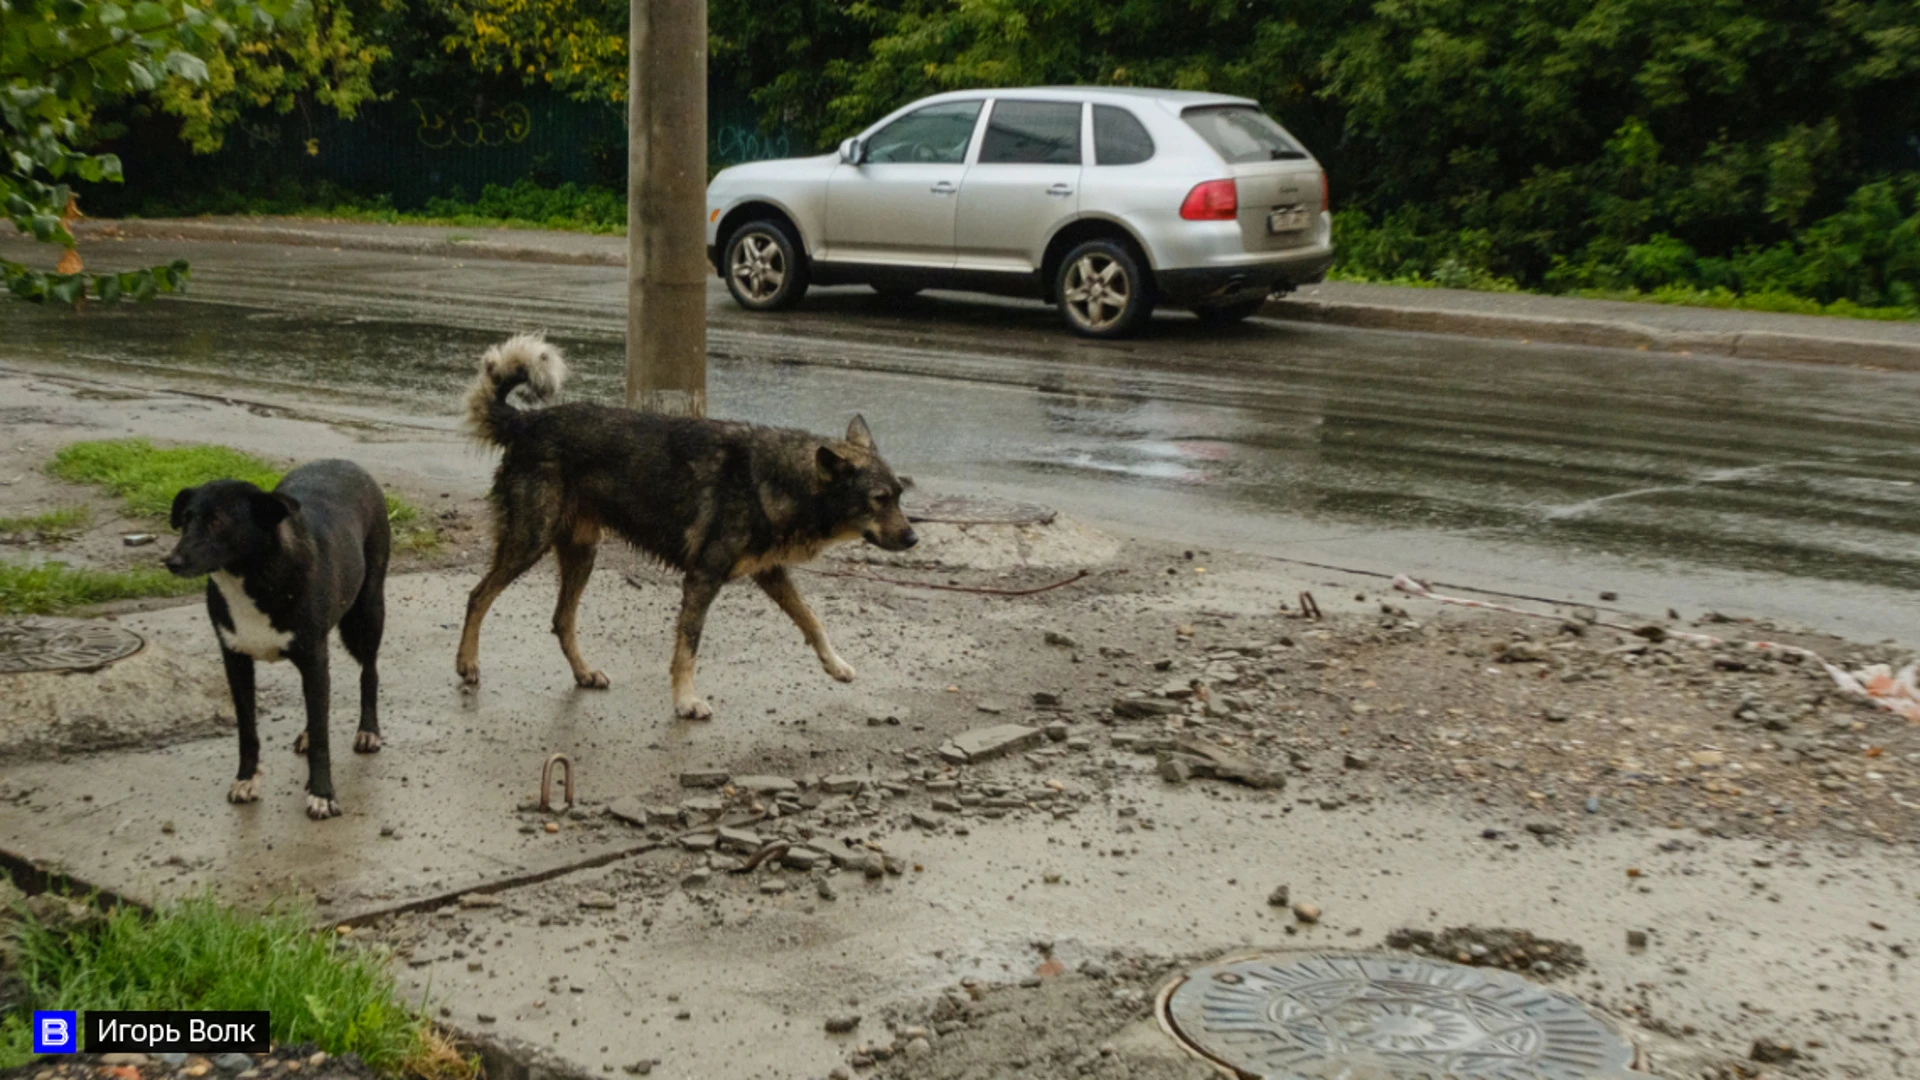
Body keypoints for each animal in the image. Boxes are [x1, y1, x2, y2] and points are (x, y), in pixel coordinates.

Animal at [170, 457, 395, 818]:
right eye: (186, 520)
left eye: (217, 521)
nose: (171, 561)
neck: (253, 575)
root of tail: (344, 461)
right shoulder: (236, 661)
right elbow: (248, 730)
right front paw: (246, 779)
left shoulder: (314, 658)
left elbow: (322, 737)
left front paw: (322, 794)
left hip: (369, 612)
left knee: (369, 672)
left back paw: (368, 731)